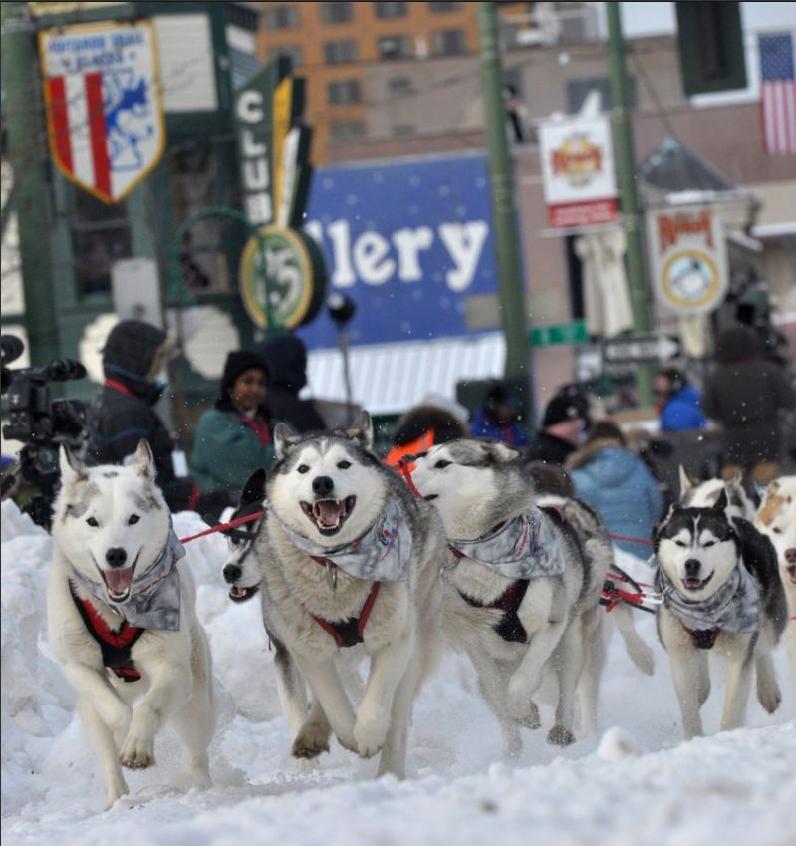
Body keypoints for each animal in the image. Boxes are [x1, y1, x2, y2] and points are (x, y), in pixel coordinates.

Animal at [47, 440, 215, 812]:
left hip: (195, 702)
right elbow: (116, 712)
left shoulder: (172, 669)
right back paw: (116, 797)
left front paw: (138, 744)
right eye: (92, 521)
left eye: (133, 519)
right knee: (106, 747)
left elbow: (150, 706)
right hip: (89, 713)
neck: (117, 610)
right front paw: (128, 735)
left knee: (197, 751)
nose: (115, 555)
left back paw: (202, 786)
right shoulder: (78, 666)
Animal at [408, 440, 612, 760]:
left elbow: (521, 683)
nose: (400, 469)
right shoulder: (474, 642)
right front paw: (522, 718)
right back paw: (511, 752)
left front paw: (524, 710)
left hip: (570, 645)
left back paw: (561, 730)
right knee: (501, 700)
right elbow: (500, 694)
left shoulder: (550, 626)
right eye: (420, 458)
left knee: (566, 691)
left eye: (443, 463)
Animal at [652, 494, 784, 740]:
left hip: (769, 620)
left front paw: (728, 735)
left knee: (763, 647)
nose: (691, 564)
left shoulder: (740, 652)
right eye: (680, 543)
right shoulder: (679, 652)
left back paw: (768, 690)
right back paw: (701, 686)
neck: (703, 608)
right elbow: (688, 704)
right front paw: (693, 738)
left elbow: (733, 704)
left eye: (709, 543)